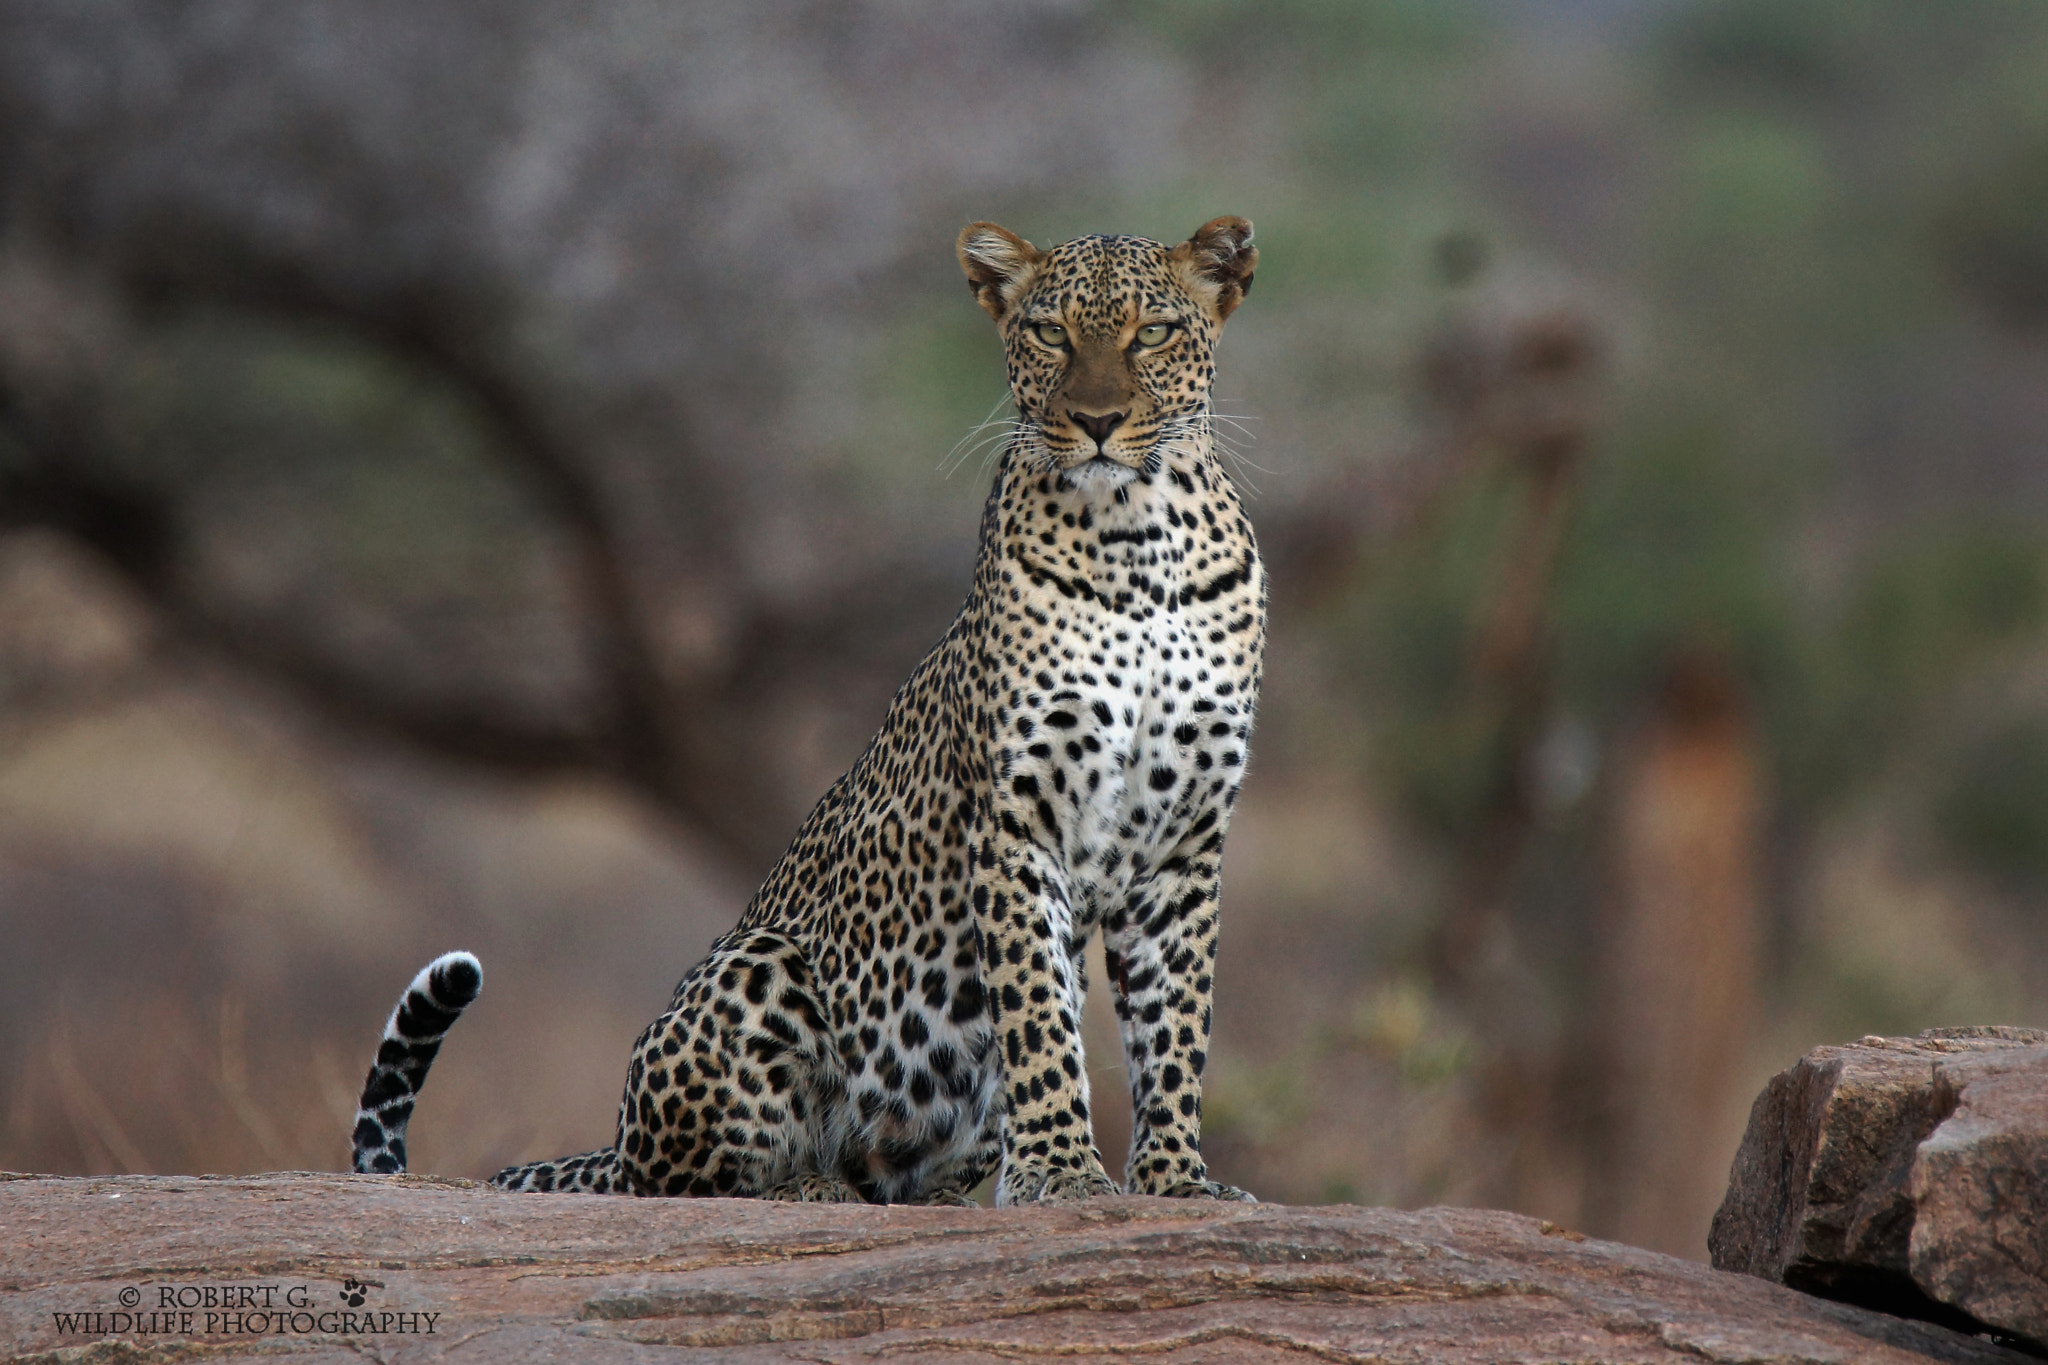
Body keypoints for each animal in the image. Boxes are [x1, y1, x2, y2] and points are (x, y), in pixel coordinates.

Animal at [356, 218, 1261, 1211]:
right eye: (1052, 334)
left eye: (1154, 334)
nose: (1097, 423)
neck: (1141, 544)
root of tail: (615, 1136)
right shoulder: (1017, 821)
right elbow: (1038, 1016)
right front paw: (1061, 1169)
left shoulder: (1185, 841)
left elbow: (1175, 1027)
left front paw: (1176, 1179)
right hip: (760, 962)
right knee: (682, 1180)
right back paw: (808, 1187)